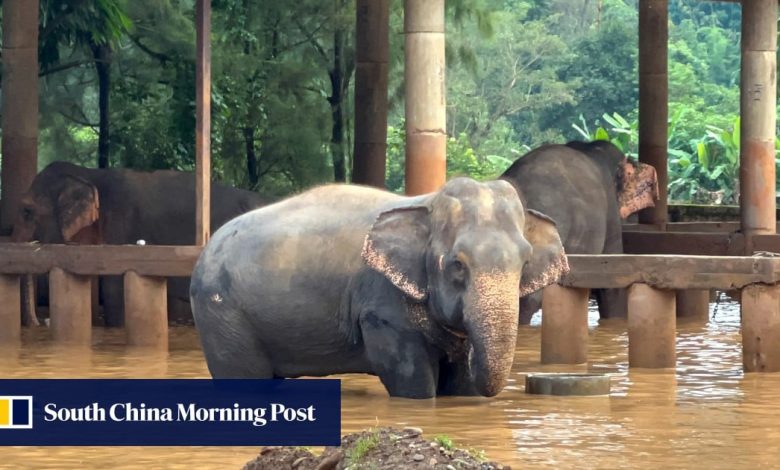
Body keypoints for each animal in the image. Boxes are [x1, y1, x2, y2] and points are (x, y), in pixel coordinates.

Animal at [189, 178, 568, 398]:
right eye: (457, 265)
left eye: (525, 262)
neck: (427, 202)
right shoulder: (381, 304)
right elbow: (411, 379)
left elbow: (460, 384)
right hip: (221, 313)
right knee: (243, 377)